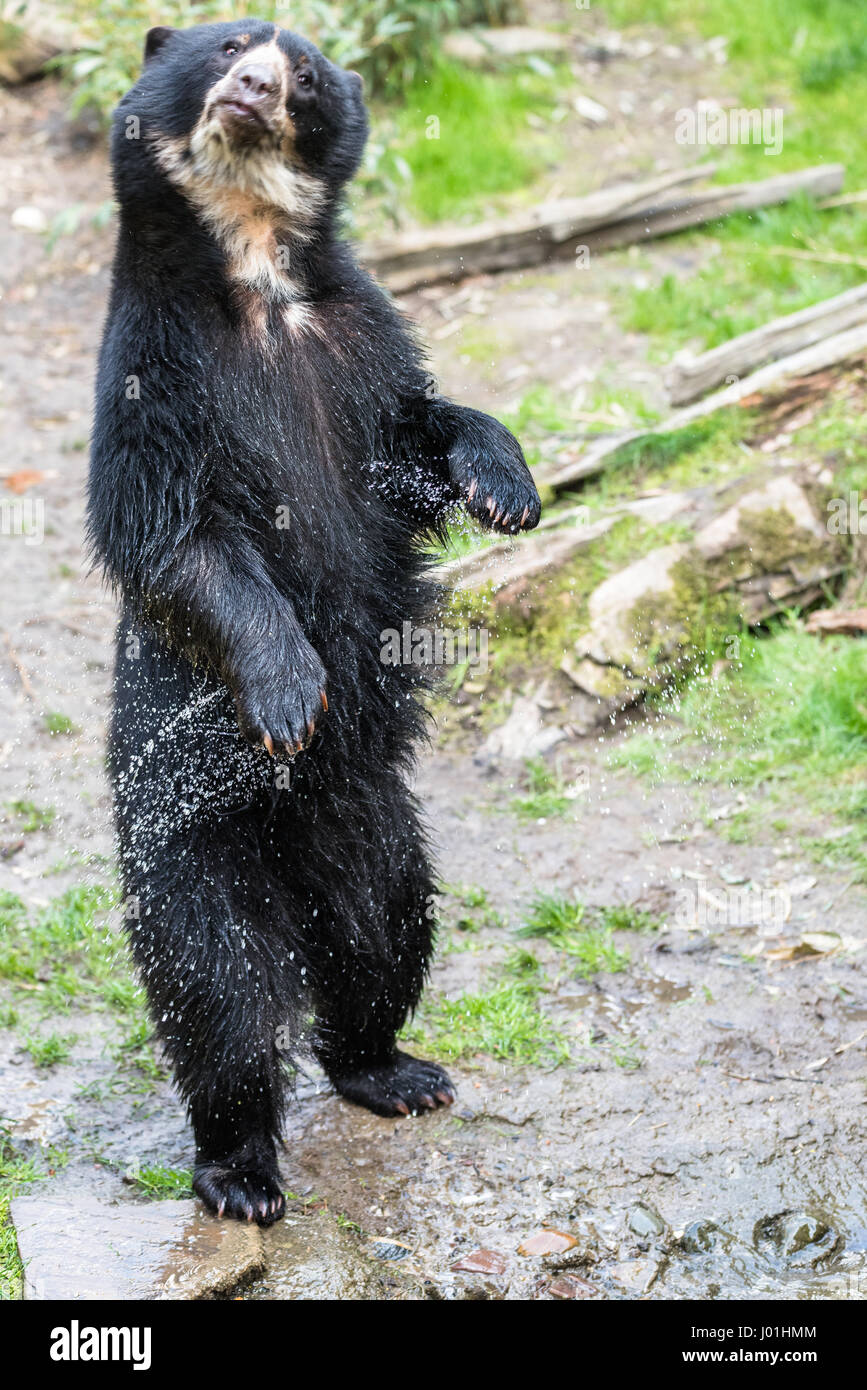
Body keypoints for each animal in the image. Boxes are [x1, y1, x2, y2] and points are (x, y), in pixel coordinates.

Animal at [88, 20, 541, 1225]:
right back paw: (240, 1172)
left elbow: (422, 425)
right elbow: (180, 536)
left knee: (384, 944)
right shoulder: (156, 374)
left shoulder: (360, 338)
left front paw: (508, 491)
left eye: (299, 68)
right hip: (189, 857)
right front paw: (292, 691)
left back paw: (395, 1070)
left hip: (383, 840)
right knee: (222, 1005)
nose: (252, 87)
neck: (257, 271)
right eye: (225, 48)